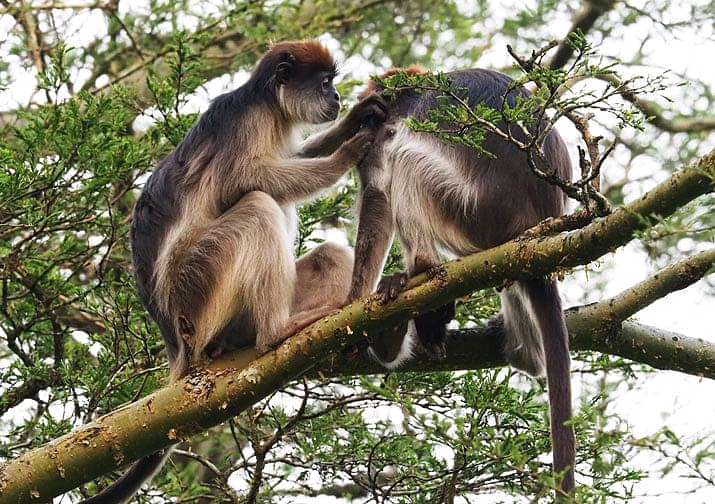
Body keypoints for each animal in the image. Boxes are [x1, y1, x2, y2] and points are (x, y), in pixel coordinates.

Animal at [79, 41, 388, 502]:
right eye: (324, 82)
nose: (335, 97)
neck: (268, 104)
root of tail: (177, 346)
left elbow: (290, 158)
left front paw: (354, 121)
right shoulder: (246, 121)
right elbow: (244, 179)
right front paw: (350, 151)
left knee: (329, 251)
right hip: (197, 290)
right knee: (258, 205)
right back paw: (274, 333)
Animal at [350, 67, 580, 496]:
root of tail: (536, 222)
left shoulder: (402, 119)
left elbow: (380, 191)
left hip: (478, 209)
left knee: (407, 157)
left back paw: (420, 272)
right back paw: (523, 351)